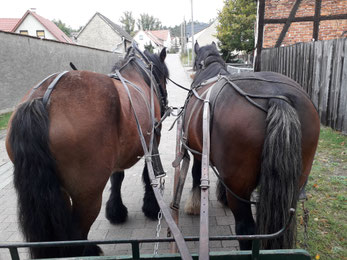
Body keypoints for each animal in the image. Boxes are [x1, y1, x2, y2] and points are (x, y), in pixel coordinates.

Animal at [5, 46, 169, 258]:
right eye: (164, 77)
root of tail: (42, 99)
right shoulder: (152, 141)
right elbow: (148, 176)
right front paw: (151, 206)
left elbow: (117, 177)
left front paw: (116, 211)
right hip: (88, 195)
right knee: (76, 234)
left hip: (56, 191)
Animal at [184, 42, 322, 250]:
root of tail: (278, 97)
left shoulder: (198, 152)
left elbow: (195, 174)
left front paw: (194, 204)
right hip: (295, 185)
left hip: (239, 189)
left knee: (246, 229)